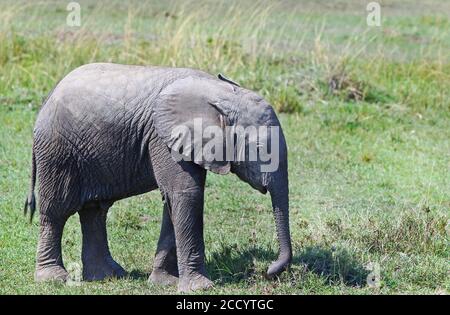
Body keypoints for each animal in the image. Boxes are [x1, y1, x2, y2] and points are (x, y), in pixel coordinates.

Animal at [24, 63, 292, 294]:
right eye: (260, 150)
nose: (269, 271)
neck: (217, 92)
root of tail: (48, 97)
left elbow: (174, 199)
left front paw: (165, 282)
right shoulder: (163, 137)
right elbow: (187, 194)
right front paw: (200, 288)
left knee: (95, 210)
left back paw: (108, 275)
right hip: (57, 151)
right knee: (57, 210)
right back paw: (54, 278)